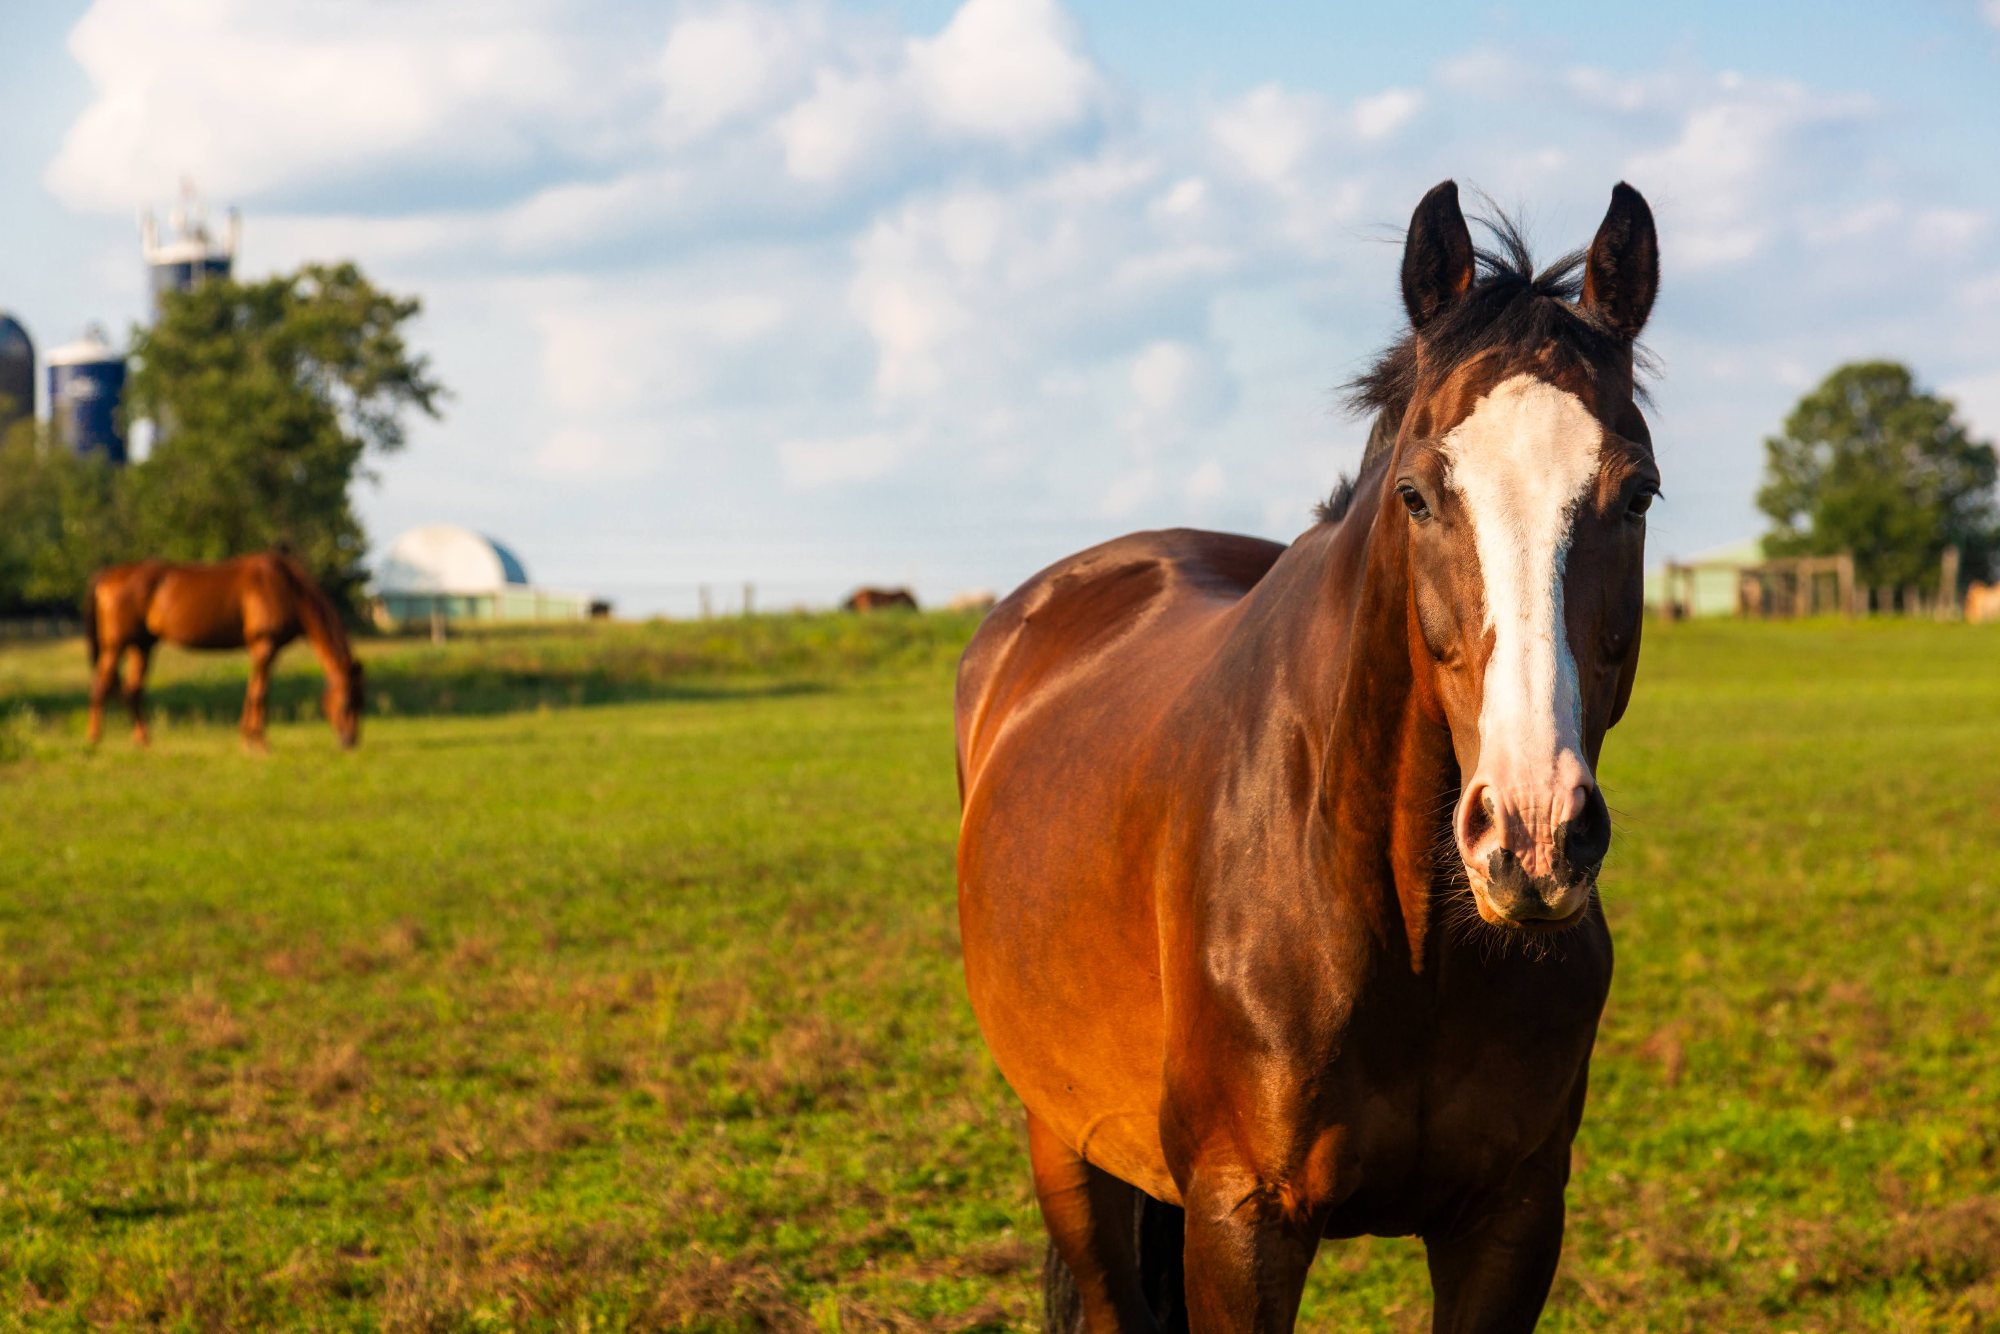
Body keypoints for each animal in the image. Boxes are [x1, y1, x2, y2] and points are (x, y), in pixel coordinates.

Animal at [85, 552, 365, 750]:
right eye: (348, 701)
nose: (350, 741)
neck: (287, 589)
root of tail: (108, 576)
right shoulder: (264, 646)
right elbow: (260, 693)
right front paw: (260, 742)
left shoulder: (264, 650)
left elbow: (253, 690)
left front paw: (247, 739)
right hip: (116, 646)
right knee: (101, 684)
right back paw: (94, 738)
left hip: (142, 645)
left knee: (132, 690)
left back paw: (143, 740)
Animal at [955, 180, 1660, 1333]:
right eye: (1417, 494)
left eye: (1637, 492)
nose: (1532, 834)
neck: (1407, 933)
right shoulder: (1243, 1220)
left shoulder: (1511, 1222)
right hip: (1064, 1145)